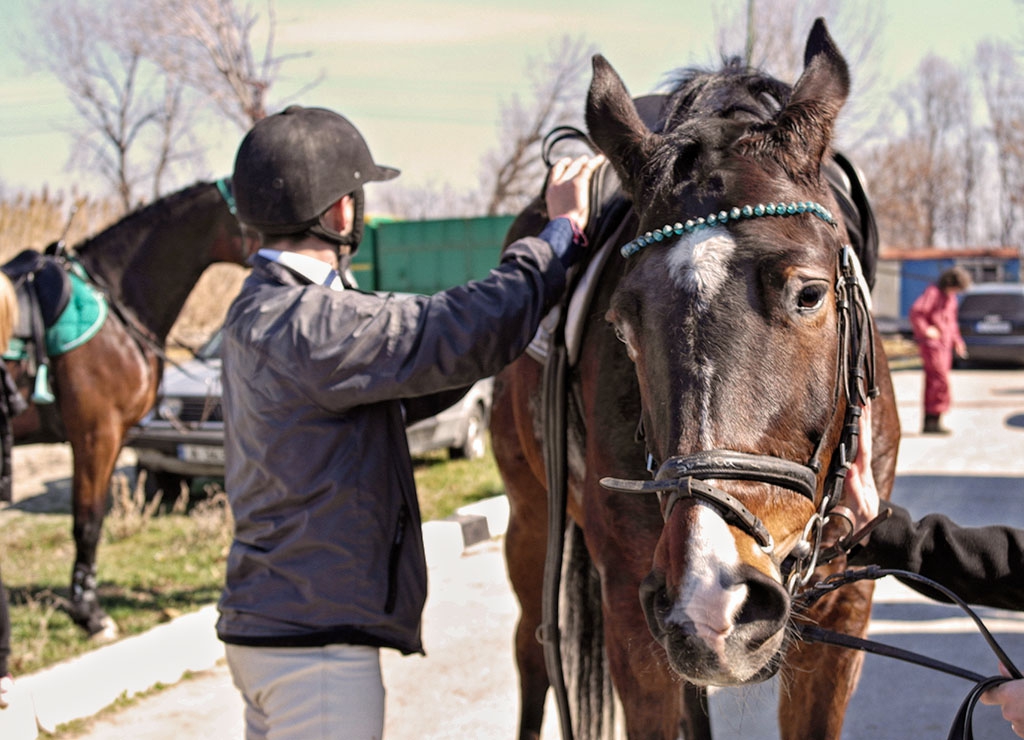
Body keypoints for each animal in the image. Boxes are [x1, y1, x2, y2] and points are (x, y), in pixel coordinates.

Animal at [491, 20, 901, 736]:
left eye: (810, 294)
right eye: (622, 323)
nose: (718, 594)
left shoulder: (844, 610)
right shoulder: (636, 615)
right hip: (533, 521)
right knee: (533, 652)